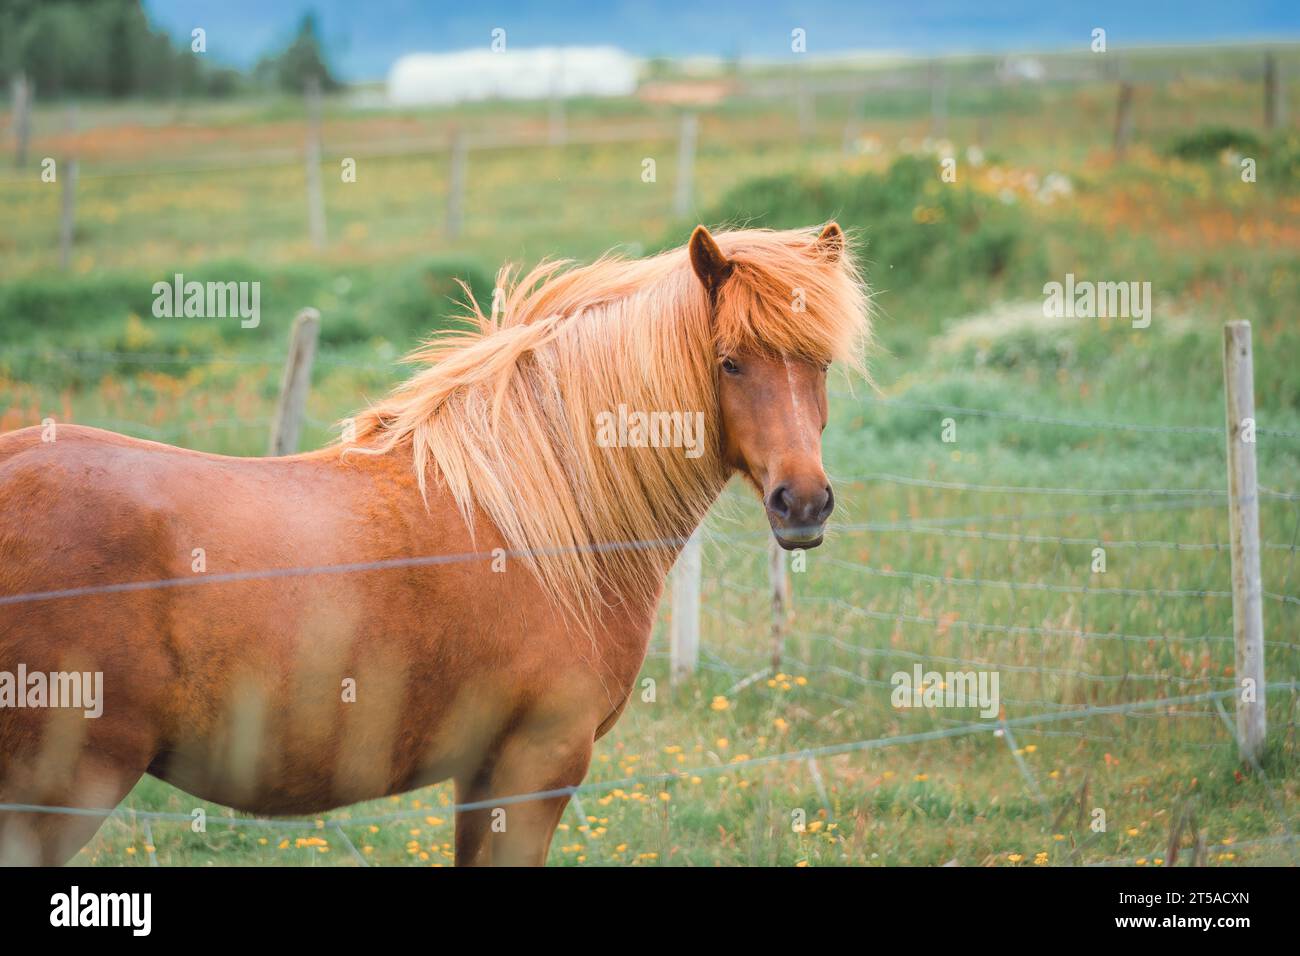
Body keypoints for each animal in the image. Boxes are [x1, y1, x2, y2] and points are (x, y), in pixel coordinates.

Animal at [0, 223, 870, 866]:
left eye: (821, 363)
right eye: (729, 362)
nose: (803, 501)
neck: (542, 520)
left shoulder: (482, 777)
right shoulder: (533, 769)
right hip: (61, 792)